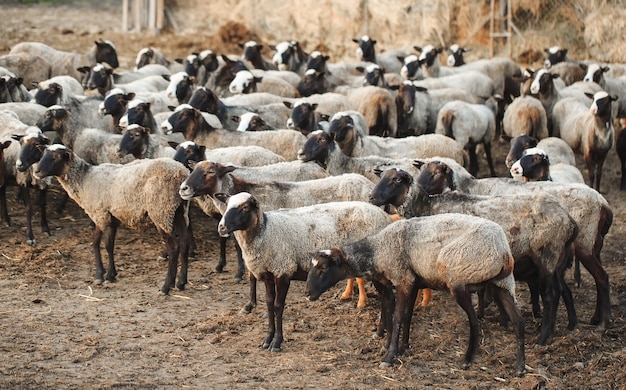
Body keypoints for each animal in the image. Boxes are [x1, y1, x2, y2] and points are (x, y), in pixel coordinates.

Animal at [33, 145, 189, 294]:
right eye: (43, 154)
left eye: (56, 157)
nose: (37, 172)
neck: (85, 179)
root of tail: (181, 172)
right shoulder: (109, 216)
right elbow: (102, 243)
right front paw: (105, 274)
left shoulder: (100, 214)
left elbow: (103, 244)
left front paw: (104, 276)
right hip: (179, 210)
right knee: (184, 244)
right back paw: (181, 282)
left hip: (161, 210)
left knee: (174, 247)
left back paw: (166, 287)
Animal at [304, 213, 524, 374]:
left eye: (323, 268)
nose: (307, 293)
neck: (377, 249)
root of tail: (503, 252)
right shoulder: (413, 283)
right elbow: (406, 315)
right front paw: (401, 346)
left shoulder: (403, 280)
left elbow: (397, 316)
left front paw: (389, 356)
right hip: (502, 283)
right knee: (517, 320)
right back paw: (520, 367)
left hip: (458, 279)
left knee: (475, 321)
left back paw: (468, 359)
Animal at [368, 166, 576, 342]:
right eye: (381, 176)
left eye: (396, 180)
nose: (371, 198)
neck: (426, 207)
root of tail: (568, 219)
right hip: (556, 260)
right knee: (561, 290)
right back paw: (565, 326)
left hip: (547, 256)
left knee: (550, 295)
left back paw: (543, 337)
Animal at [412, 160, 612, 330]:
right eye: (421, 171)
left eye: (435, 174)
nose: (419, 190)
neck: (471, 187)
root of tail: (604, 204)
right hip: (593, 246)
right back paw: (593, 318)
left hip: (584, 245)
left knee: (601, 278)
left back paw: (603, 322)